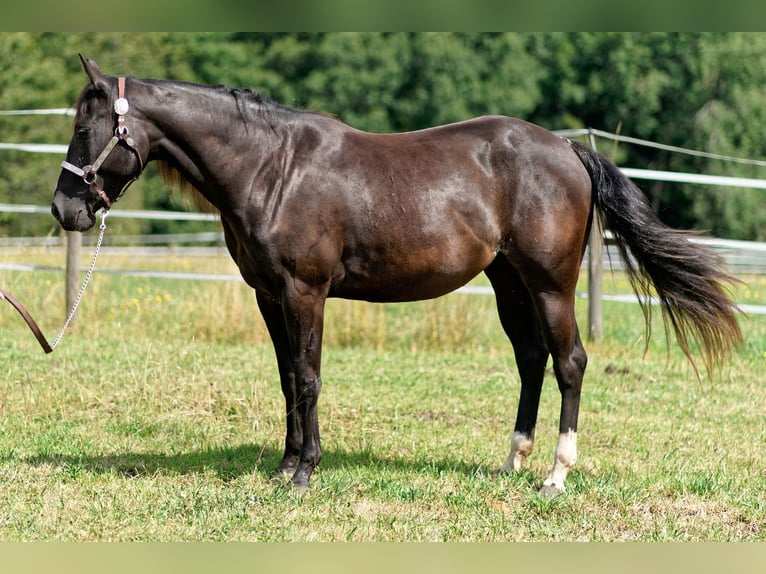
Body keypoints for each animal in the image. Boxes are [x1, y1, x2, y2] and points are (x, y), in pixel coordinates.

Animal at [52, 55, 742, 494]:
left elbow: (308, 378)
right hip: (508, 282)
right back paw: (512, 461)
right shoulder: (269, 297)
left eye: (86, 127)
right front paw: (283, 466)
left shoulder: (305, 292)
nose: (64, 209)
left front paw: (305, 473)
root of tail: (567, 149)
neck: (272, 168)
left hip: (550, 283)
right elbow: (286, 379)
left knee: (569, 362)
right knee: (531, 359)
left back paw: (555, 474)